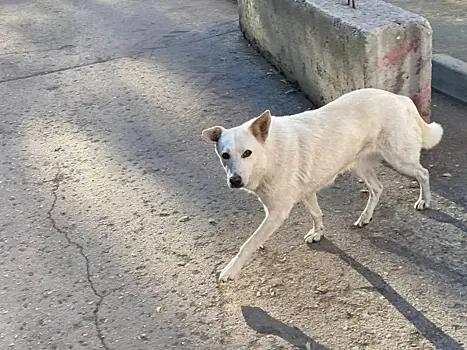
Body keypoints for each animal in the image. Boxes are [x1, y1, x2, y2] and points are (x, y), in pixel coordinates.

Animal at [203, 88, 444, 282]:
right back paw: (365, 217)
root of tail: (400, 98)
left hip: (399, 159)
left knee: (423, 173)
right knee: (377, 188)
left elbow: (248, 244)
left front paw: (230, 270)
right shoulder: (307, 192)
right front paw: (318, 233)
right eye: (225, 155)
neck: (268, 154)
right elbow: (316, 214)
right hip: (359, 166)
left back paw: (424, 200)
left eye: (247, 153)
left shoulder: (277, 212)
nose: (235, 181)